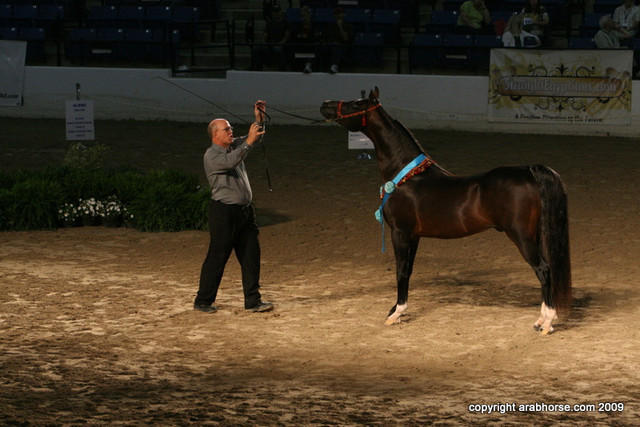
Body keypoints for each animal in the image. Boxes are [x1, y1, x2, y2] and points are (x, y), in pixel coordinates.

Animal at [320, 87, 571, 334]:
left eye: (356, 104)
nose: (325, 104)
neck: (409, 177)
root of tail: (530, 171)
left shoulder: (399, 233)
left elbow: (400, 271)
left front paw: (396, 313)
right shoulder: (414, 236)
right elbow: (408, 270)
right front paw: (396, 310)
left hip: (521, 237)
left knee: (543, 269)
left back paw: (547, 322)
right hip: (534, 235)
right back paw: (542, 320)